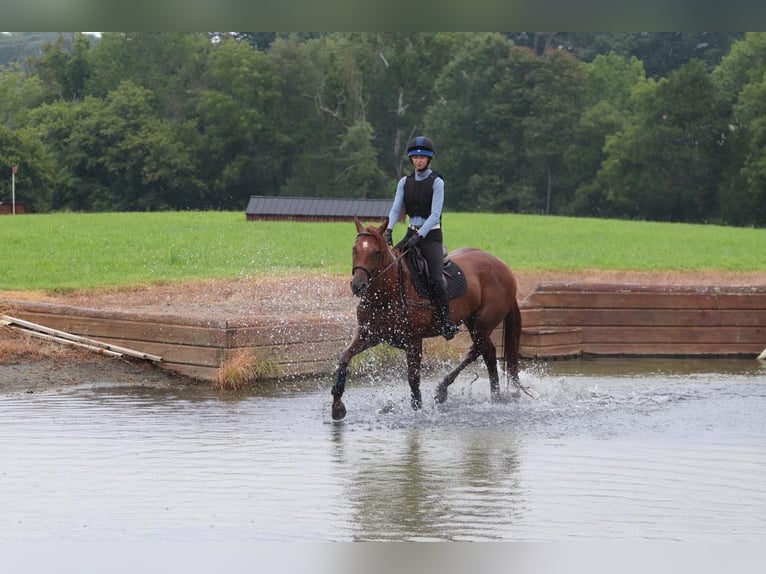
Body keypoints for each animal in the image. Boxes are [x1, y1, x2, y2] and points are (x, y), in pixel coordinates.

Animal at [330, 217, 520, 424]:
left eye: (376, 253)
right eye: (354, 249)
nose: (358, 285)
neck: (387, 294)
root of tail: (504, 267)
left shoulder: (413, 341)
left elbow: (413, 378)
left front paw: (418, 410)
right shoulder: (369, 334)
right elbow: (344, 357)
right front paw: (337, 406)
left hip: (481, 325)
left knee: (483, 352)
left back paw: (480, 395)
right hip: (473, 324)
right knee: (483, 352)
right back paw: (467, 392)